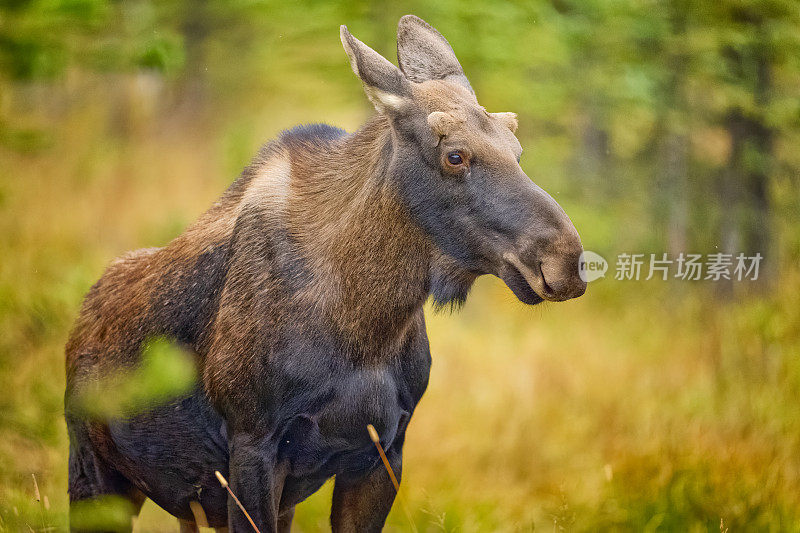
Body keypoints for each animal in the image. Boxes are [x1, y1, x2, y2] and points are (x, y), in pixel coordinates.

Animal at [64, 14, 588, 528]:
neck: (367, 326)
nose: (565, 259)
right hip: (93, 473)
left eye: (517, 149)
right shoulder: (252, 445)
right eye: (454, 155)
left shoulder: (384, 451)